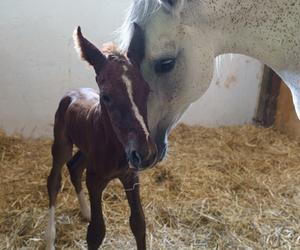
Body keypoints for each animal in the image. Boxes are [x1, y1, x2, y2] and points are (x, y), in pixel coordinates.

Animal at [45, 24, 157, 250]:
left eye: (147, 90)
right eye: (106, 96)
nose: (145, 154)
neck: (116, 149)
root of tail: (72, 92)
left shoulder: (131, 176)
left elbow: (139, 223)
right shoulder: (95, 181)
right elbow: (96, 233)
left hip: (86, 151)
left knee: (74, 166)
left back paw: (85, 211)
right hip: (62, 143)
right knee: (54, 179)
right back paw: (50, 238)